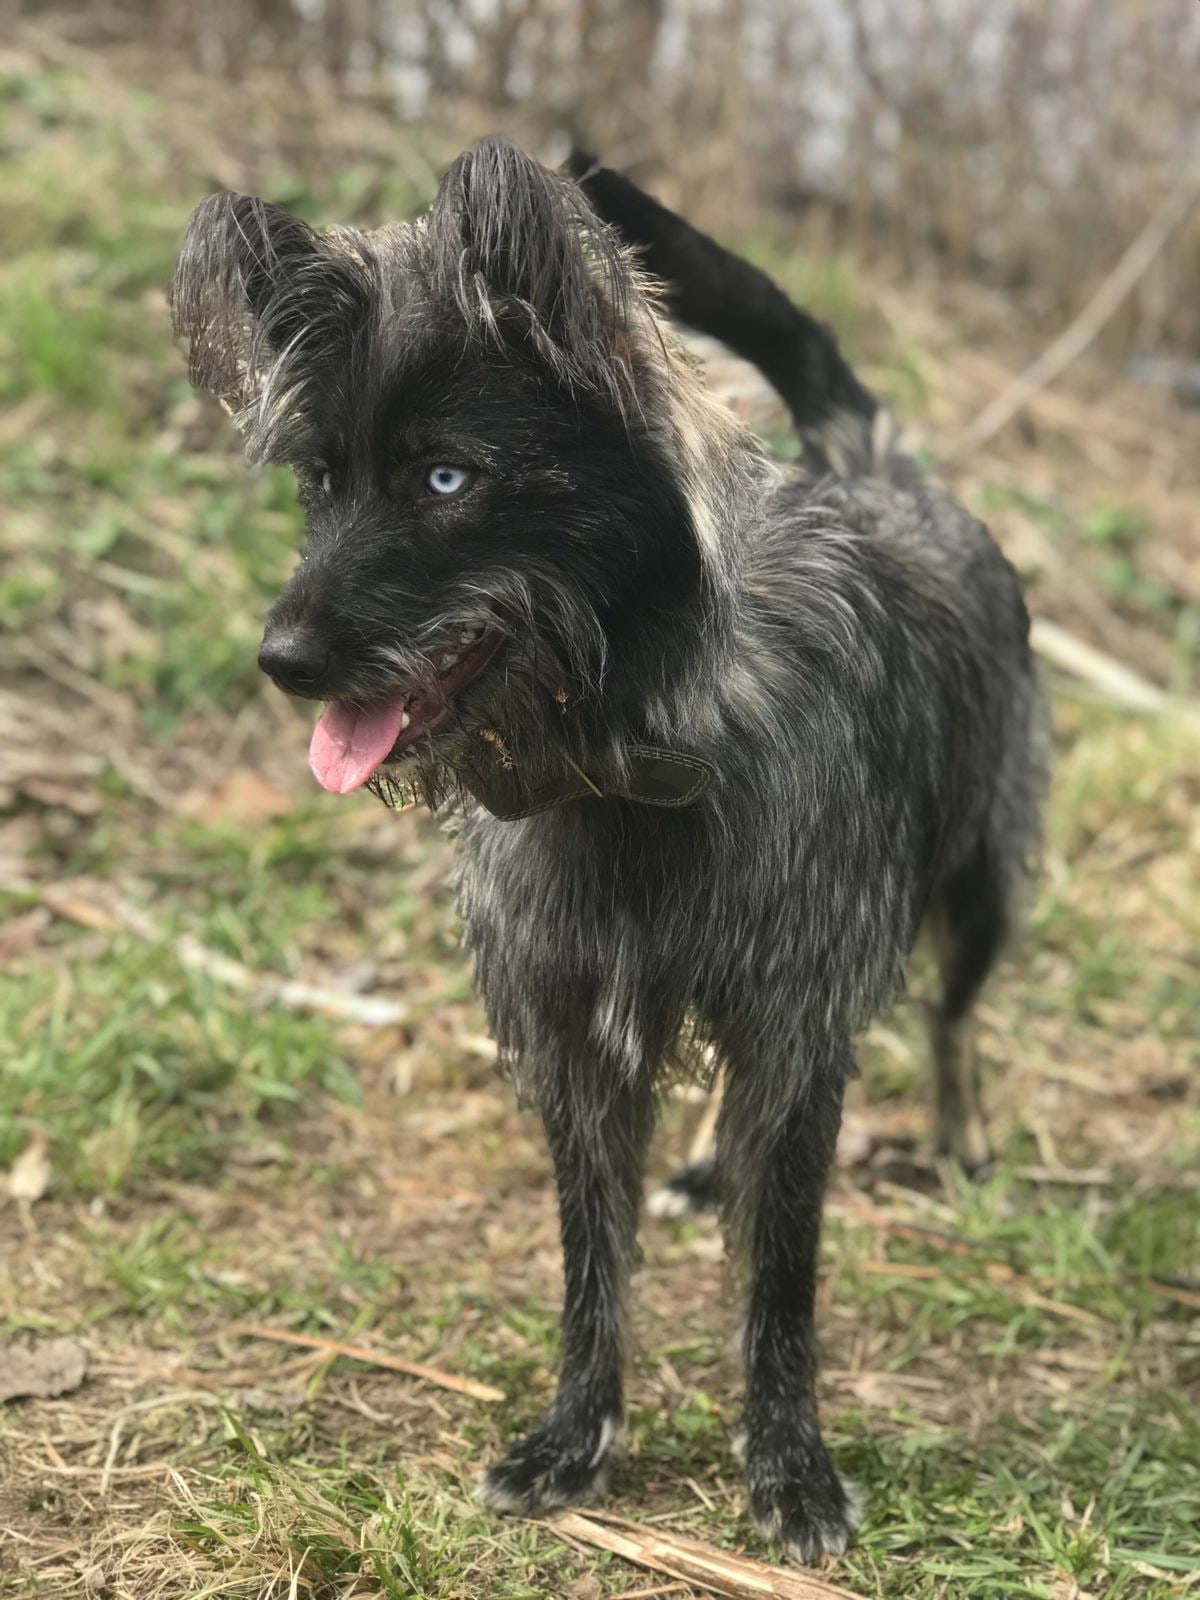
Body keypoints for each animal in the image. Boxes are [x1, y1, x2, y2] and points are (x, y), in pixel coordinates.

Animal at [169, 137, 1043, 1561]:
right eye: (322, 482)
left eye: (446, 478)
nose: (280, 660)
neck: (641, 756)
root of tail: (887, 472)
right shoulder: (577, 1036)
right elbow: (595, 1261)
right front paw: (577, 1436)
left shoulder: (797, 1027)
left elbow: (782, 1278)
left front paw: (791, 1467)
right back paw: (703, 1168)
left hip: (986, 887)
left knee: (956, 1018)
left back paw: (960, 1140)